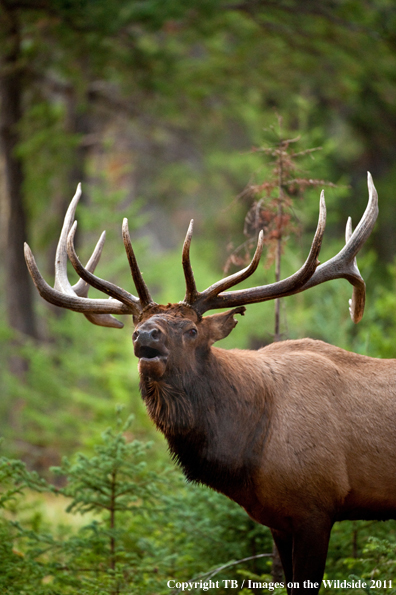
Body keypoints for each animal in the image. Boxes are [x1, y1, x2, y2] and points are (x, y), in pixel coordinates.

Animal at [23, 172, 382, 592]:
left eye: (192, 329)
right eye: (135, 322)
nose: (145, 335)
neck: (252, 449)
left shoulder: (317, 507)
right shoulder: (281, 519)